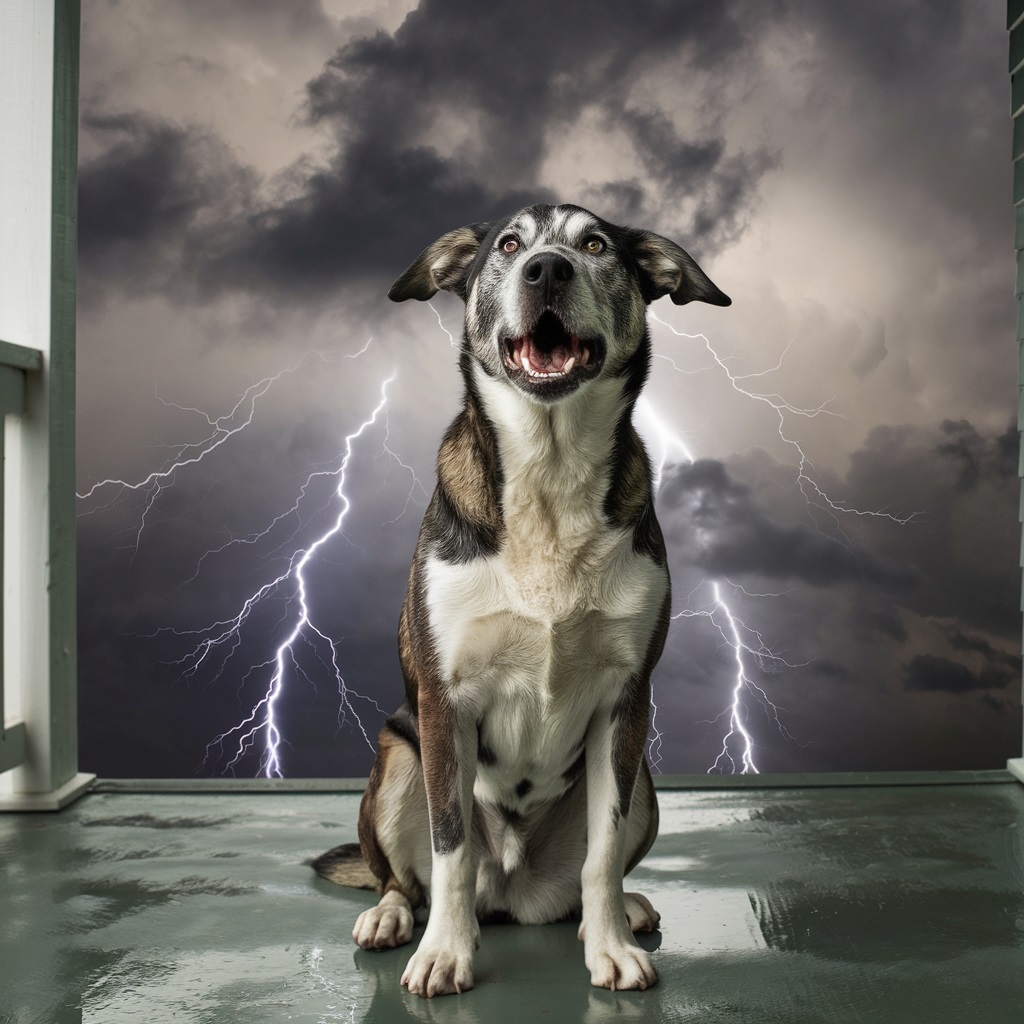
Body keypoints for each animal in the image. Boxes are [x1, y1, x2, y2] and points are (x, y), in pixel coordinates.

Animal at [311, 203, 729, 995]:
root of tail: (512, 891)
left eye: (594, 245)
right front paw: (444, 953)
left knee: (587, 876)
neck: (549, 468)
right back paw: (393, 917)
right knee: (407, 876)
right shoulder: (446, 701)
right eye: (509, 245)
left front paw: (610, 947)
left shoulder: (625, 702)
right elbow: (449, 849)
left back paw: (624, 910)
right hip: (397, 756)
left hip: (645, 781)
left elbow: (602, 852)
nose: (547, 270)